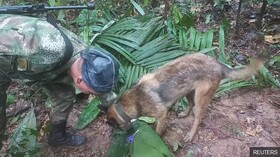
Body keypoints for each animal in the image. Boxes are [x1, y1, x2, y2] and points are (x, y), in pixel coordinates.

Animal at [106, 52, 264, 142]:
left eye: (116, 127)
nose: (125, 133)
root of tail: (218, 63)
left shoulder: (162, 115)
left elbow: (157, 131)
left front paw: (157, 138)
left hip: (200, 98)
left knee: (198, 118)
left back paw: (191, 135)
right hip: (188, 91)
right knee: (190, 104)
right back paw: (184, 113)